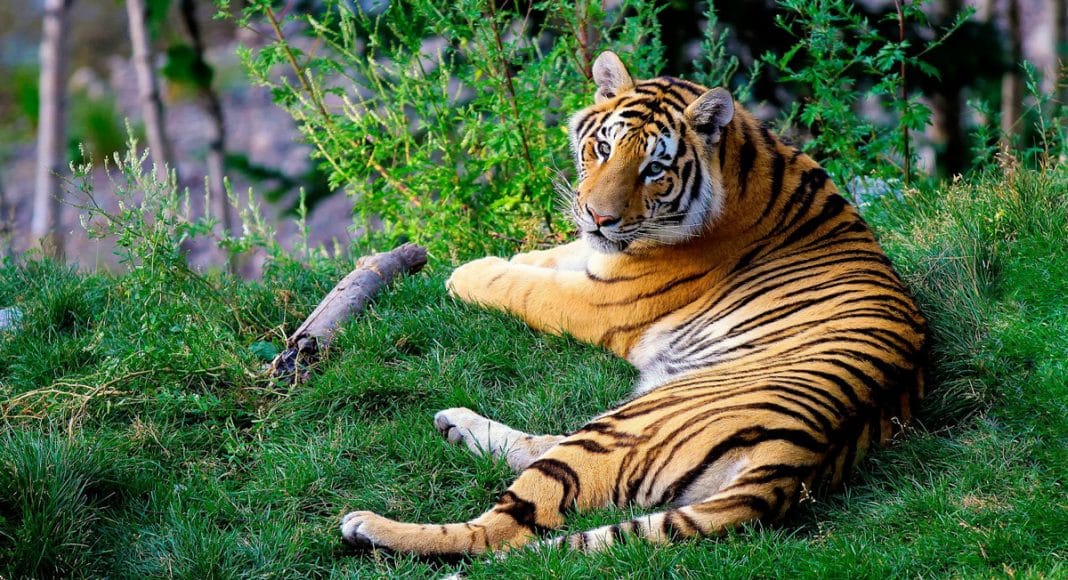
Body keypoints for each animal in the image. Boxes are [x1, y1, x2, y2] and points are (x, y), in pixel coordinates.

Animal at [340, 50, 928, 556]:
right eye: (603, 148)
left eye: (653, 169)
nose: (600, 217)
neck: (743, 161)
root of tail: (797, 460)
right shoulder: (596, 258)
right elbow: (555, 254)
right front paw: (518, 253)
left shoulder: (600, 297)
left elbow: (524, 286)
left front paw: (469, 271)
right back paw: (456, 423)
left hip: (624, 427)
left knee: (502, 530)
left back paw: (369, 525)